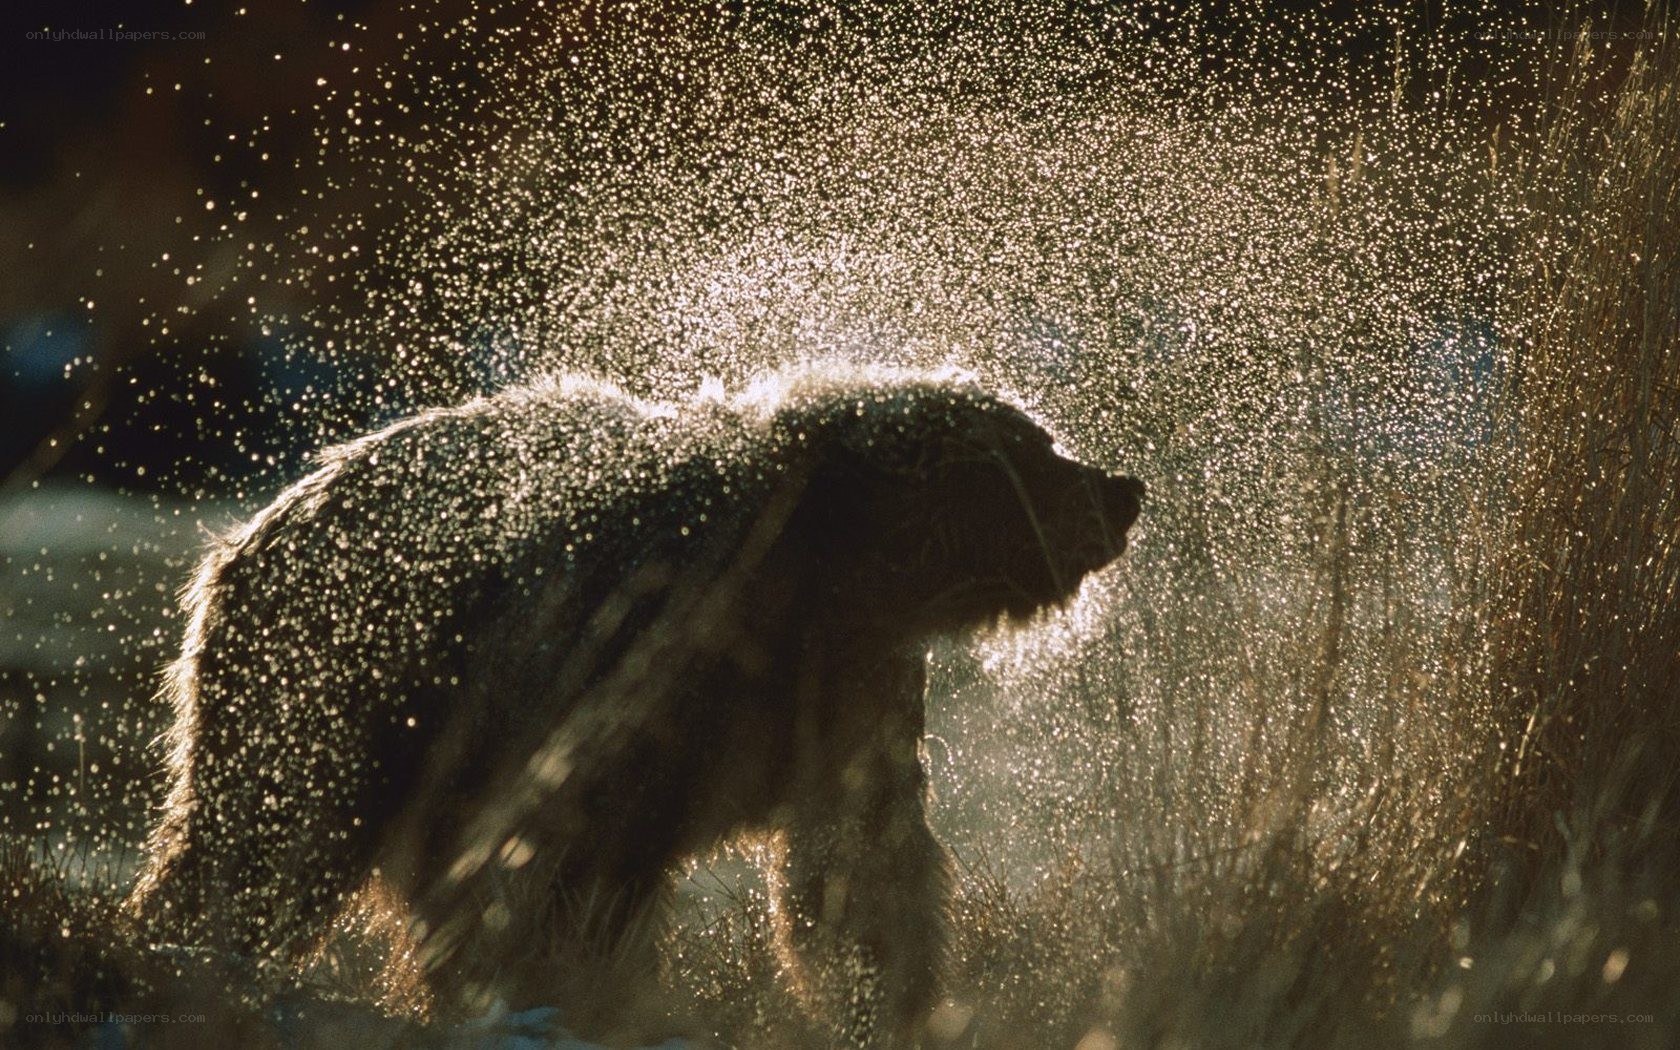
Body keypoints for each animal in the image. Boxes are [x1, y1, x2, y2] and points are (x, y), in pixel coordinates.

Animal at [124, 366, 1144, 1046]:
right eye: (1033, 449)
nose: (1123, 489)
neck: (820, 576)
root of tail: (240, 538)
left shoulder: (851, 685)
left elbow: (860, 857)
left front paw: (894, 998)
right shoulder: (627, 664)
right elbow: (581, 866)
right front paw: (577, 994)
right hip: (337, 683)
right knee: (264, 839)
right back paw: (187, 957)